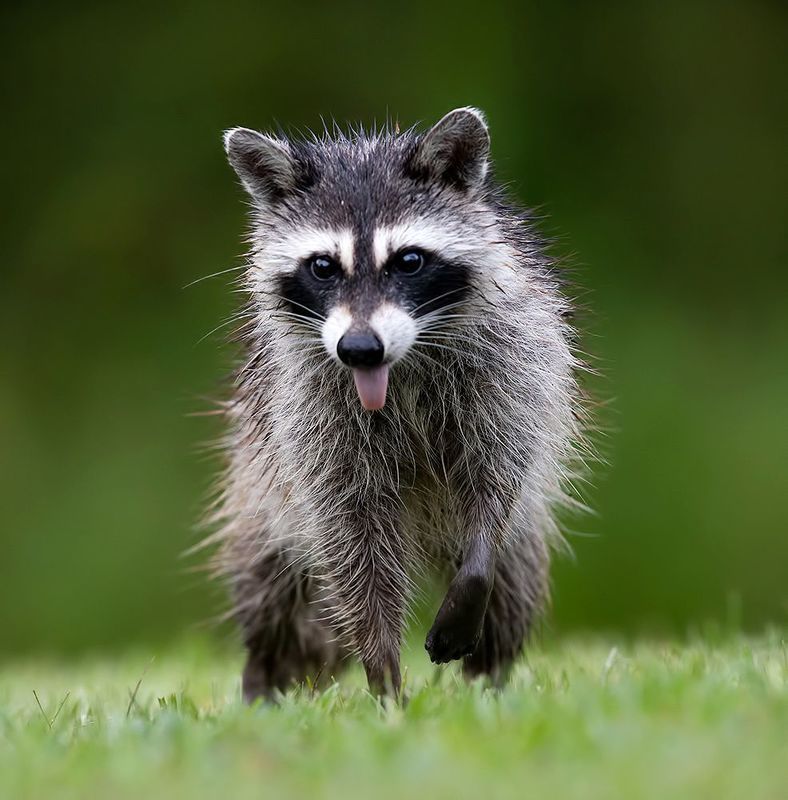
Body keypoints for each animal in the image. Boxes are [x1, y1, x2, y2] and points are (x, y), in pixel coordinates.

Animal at [209, 108, 586, 700]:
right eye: (322, 266)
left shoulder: (514, 369)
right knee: (274, 591)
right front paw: (384, 677)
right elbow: (354, 551)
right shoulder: (309, 415)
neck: (400, 369)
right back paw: (262, 676)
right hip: (260, 488)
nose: (360, 348)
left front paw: (475, 575)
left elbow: (498, 486)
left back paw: (487, 683)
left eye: (408, 261)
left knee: (513, 589)